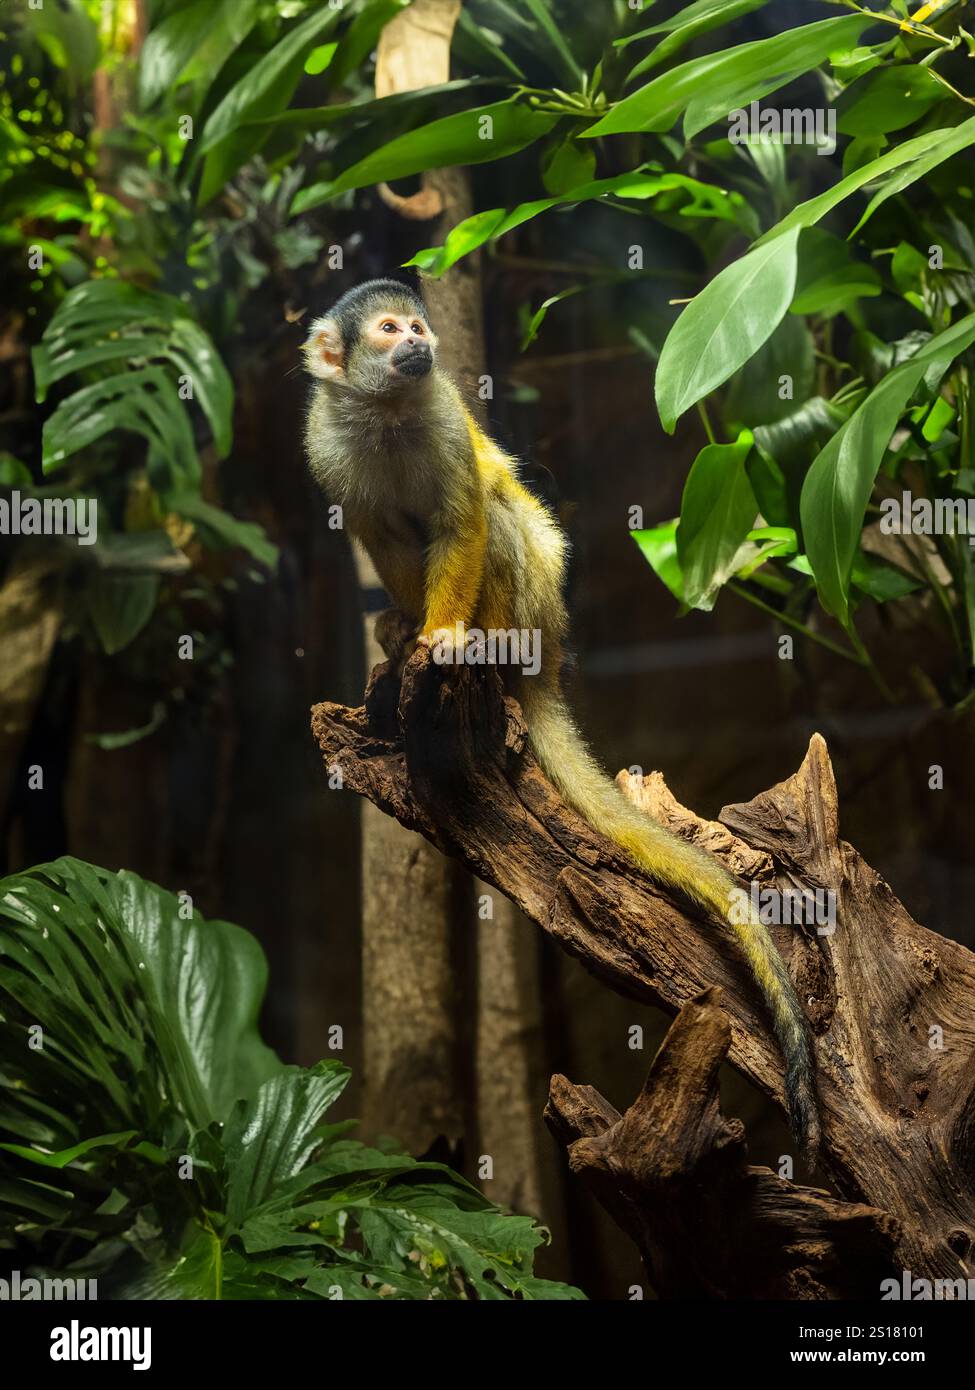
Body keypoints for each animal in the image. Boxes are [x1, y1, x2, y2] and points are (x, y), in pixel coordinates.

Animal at [300, 279, 817, 1150]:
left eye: (417, 326)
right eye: (389, 330)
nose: (420, 342)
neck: (389, 412)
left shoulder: (443, 415)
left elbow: (465, 521)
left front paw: (444, 635)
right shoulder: (327, 439)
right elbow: (377, 531)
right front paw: (406, 629)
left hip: (541, 605)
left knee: (504, 514)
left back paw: (489, 650)